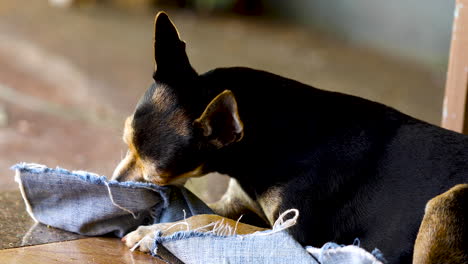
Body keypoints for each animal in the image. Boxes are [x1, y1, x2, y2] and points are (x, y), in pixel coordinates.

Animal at [113, 11, 468, 262]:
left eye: (158, 177)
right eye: (125, 143)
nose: (114, 185)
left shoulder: (291, 234)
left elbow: (207, 219)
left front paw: (152, 232)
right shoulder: (240, 202)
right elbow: (202, 211)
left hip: (450, 199)